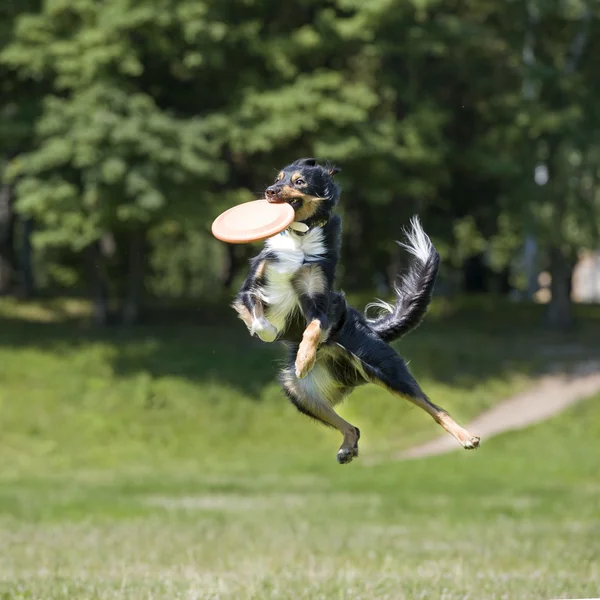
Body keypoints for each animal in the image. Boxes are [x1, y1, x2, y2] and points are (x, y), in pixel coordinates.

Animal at [232, 157, 480, 462]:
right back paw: (347, 448)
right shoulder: (248, 289)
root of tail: (370, 328)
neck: (299, 237)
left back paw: (467, 437)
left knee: (434, 408)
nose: (269, 191)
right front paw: (270, 333)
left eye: (299, 181)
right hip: (297, 390)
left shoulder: (321, 302)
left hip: (387, 369)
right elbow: (259, 322)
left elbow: (313, 329)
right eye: (278, 178)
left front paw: (304, 358)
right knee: (353, 426)